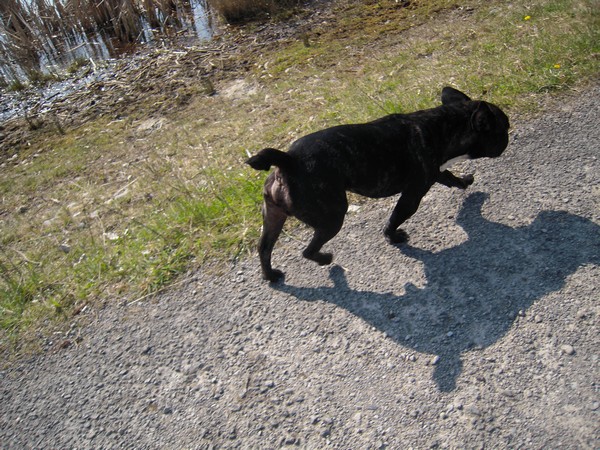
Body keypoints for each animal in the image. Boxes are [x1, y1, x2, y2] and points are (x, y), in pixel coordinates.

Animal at [246, 87, 508, 282]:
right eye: (502, 128)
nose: (508, 134)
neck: (443, 126)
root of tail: (289, 161)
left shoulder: (436, 172)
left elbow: (452, 178)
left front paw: (466, 183)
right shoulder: (414, 193)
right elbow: (397, 216)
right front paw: (393, 237)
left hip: (274, 216)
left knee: (264, 248)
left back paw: (270, 276)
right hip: (332, 216)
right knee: (307, 250)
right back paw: (325, 259)